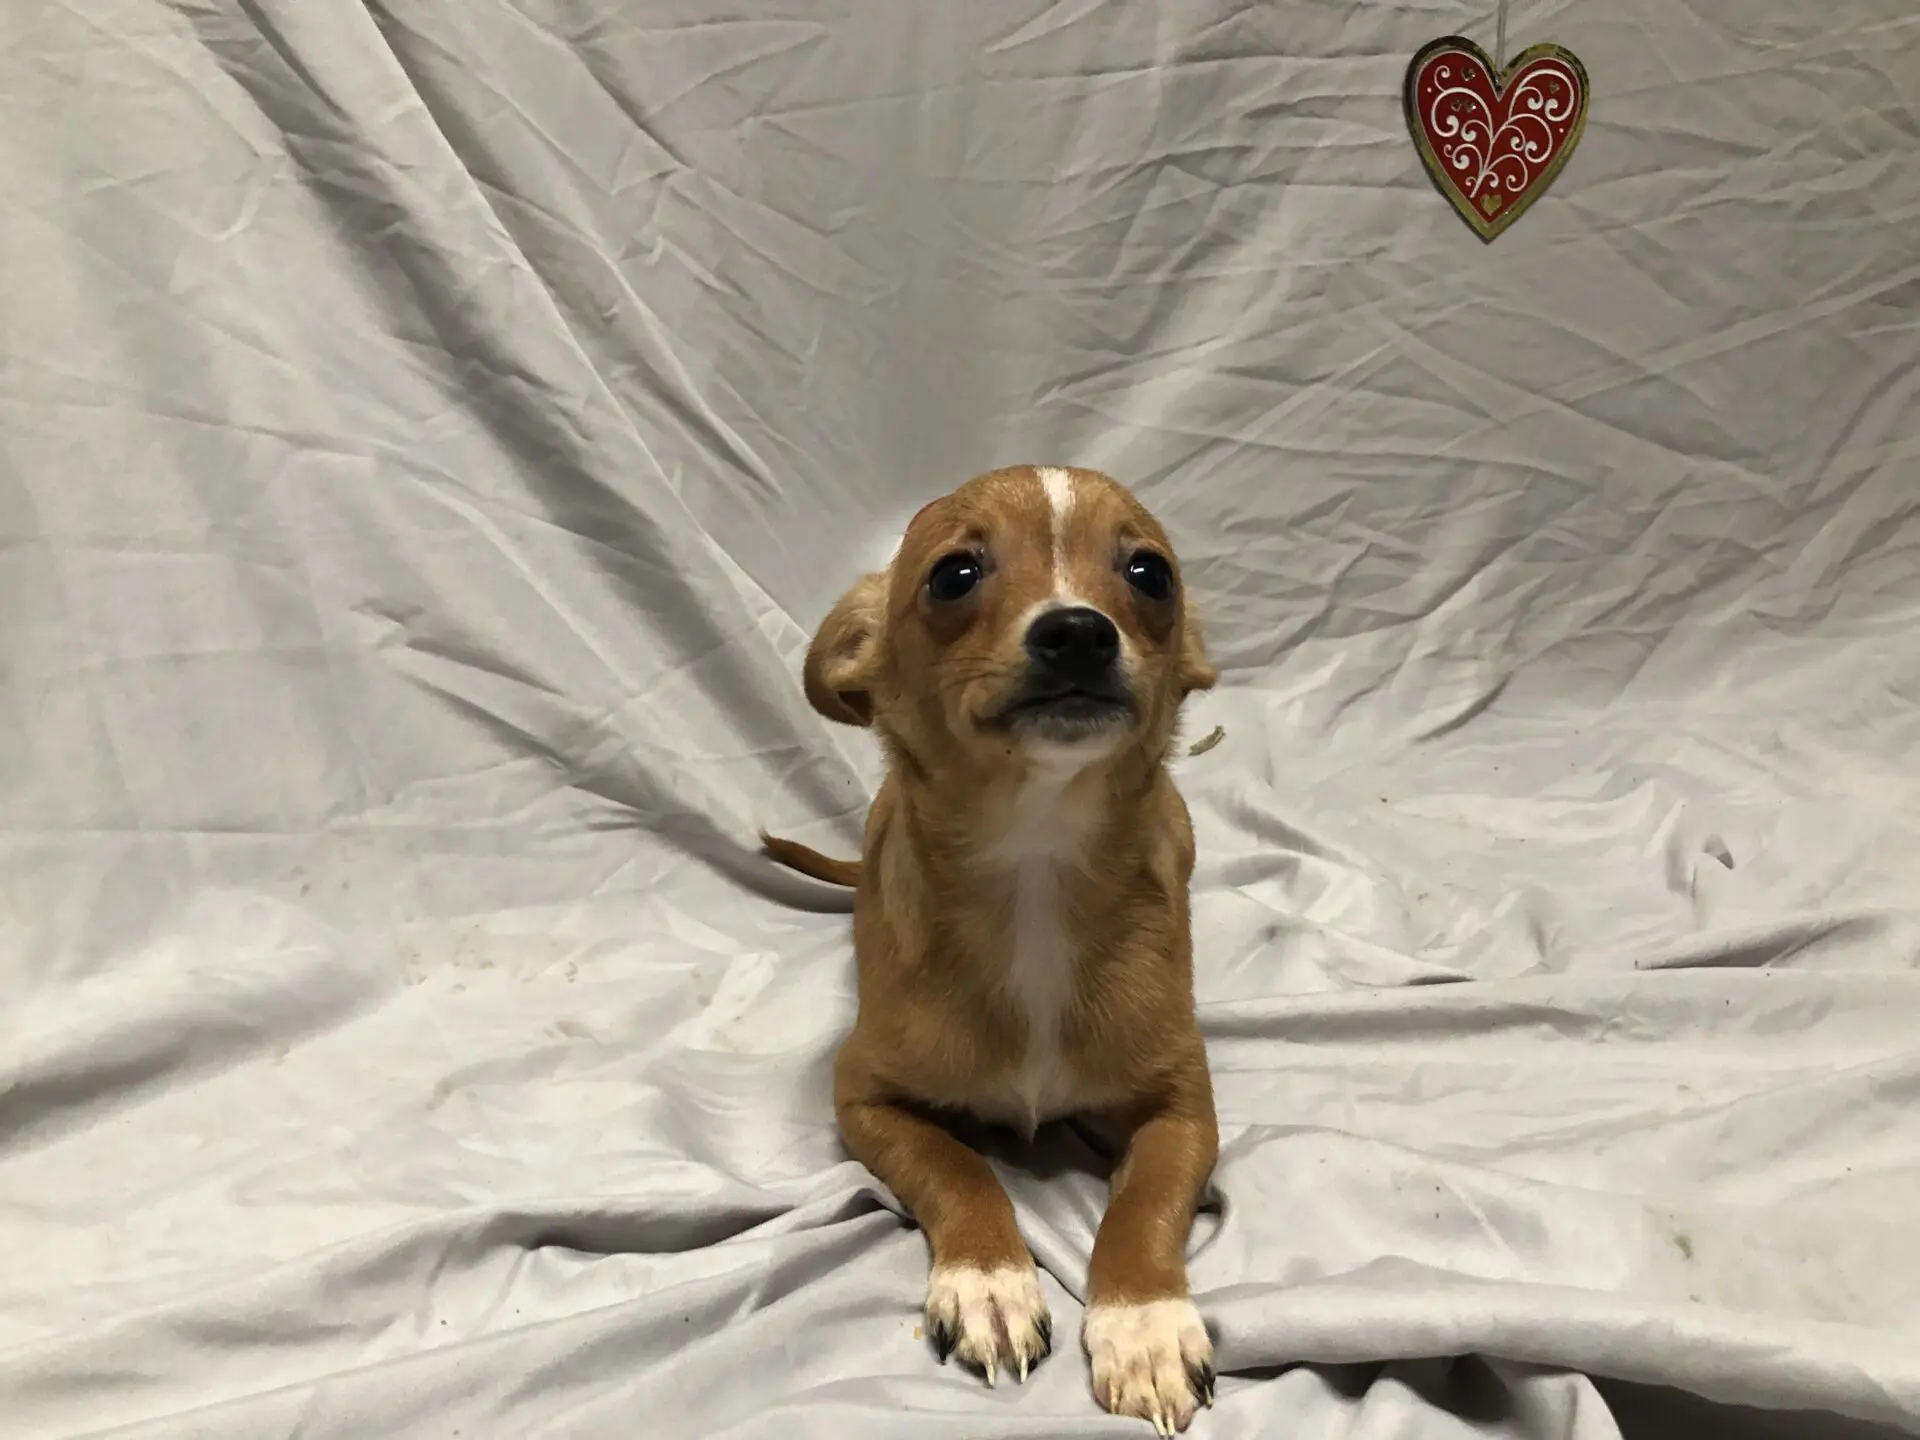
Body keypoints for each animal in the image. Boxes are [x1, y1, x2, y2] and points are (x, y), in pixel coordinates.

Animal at [763, 465, 1219, 1434]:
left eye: (1151, 574)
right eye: (954, 576)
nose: (1078, 629)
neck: (1035, 865)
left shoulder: (1183, 1108)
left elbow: (1144, 1208)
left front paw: (1145, 1326)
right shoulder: (864, 1097)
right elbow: (959, 1167)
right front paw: (989, 1283)